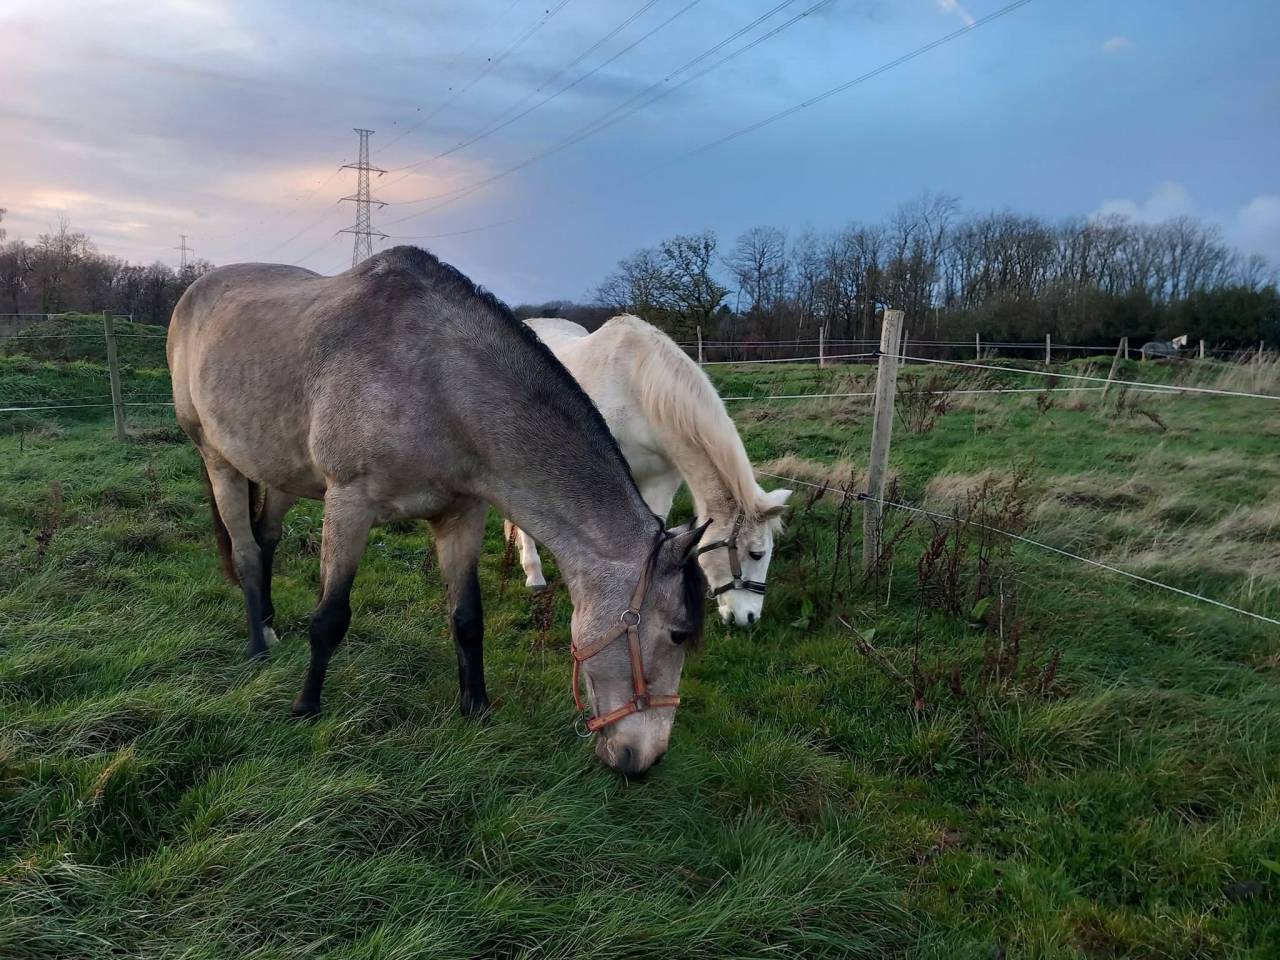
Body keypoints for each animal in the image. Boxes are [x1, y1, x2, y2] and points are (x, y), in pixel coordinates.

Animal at [167, 247, 708, 776]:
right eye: (678, 634)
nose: (645, 761)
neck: (437, 384)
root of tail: (194, 292)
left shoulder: (462, 515)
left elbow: (468, 617)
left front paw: (476, 707)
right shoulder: (348, 505)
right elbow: (330, 618)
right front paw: (306, 707)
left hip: (282, 472)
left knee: (266, 538)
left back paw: (270, 624)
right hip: (218, 461)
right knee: (246, 554)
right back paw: (257, 648)